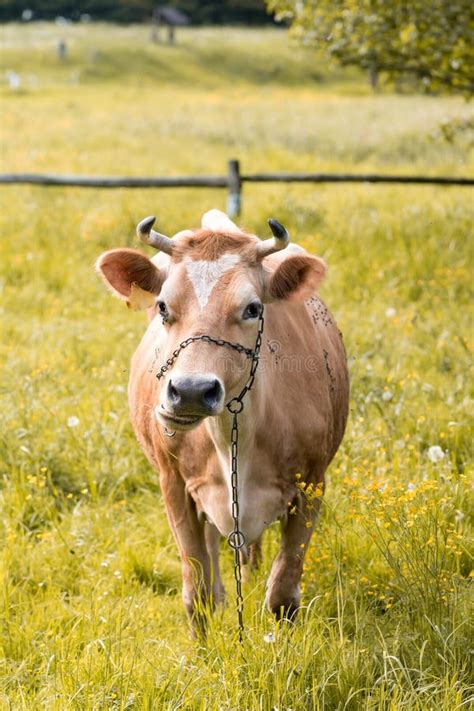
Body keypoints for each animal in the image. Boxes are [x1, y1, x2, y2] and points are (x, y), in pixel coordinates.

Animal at [96, 209, 348, 632]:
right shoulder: (174, 484)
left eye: (253, 308)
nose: (191, 390)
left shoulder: (313, 483)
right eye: (162, 306)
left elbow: (283, 592)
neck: (236, 437)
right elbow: (199, 592)